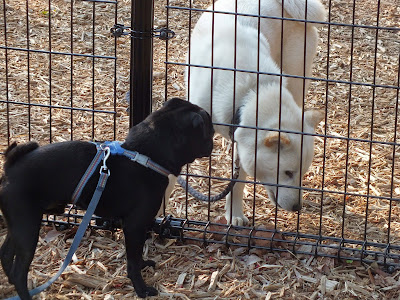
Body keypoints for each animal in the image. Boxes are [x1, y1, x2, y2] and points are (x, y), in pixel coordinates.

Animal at [0, 98, 216, 298]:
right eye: (209, 130)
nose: (213, 141)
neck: (147, 156)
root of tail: (10, 167)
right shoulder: (135, 225)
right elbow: (132, 261)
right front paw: (141, 288)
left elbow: (137, 254)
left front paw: (143, 264)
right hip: (27, 227)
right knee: (19, 270)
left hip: (19, 225)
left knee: (6, 255)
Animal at [186, 0, 326, 225]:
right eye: (287, 172)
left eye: (302, 173)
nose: (297, 207)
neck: (251, 91)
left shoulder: (242, 142)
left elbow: (237, 183)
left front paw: (234, 214)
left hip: (297, 79)